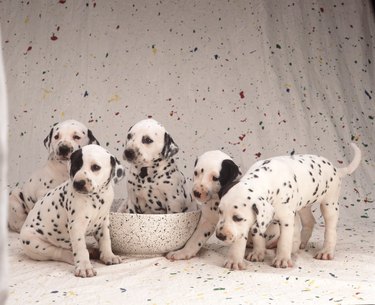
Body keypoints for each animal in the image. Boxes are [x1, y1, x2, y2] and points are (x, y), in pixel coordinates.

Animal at [20, 144, 125, 276]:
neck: (96, 197)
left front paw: (109, 256)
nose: (78, 183)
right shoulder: (77, 226)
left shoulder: (103, 222)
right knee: (57, 252)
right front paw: (84, 266)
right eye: (75, 167)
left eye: (95, 167)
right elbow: (80, 248)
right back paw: (72, 257)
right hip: (33, 243)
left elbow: (105, 240)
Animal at [217, 142, 362, 268]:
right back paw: (301, 242)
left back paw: (326, 251)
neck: (268, 180)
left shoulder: (286, 219)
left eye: (237, 218)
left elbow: (284, 241)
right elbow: (252, 236)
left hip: (330, 204)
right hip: (304, 206)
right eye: (220, 212)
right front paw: (243, 257)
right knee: (309, 221)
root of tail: (336, 169)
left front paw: (282, 259)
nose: (220, 236)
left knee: (330, 229)